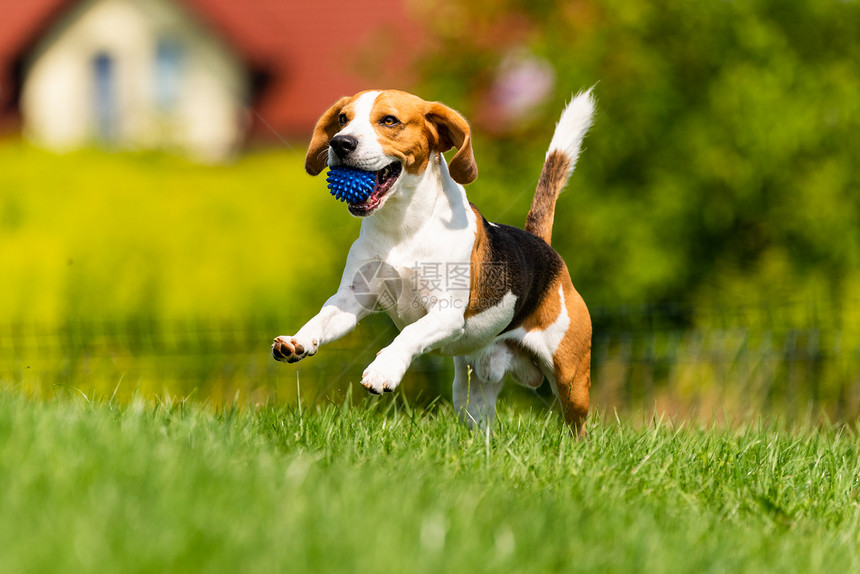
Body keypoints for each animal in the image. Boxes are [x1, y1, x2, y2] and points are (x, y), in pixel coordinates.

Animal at [272, 89, 596, 436]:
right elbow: (322, 319)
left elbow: (410, 334)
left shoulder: (446, 313)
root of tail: (543, 247)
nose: (340, 143)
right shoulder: (351, 299)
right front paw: (296, 341)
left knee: (578, 428)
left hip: (571, 378)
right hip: (470, 393)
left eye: (389, 120)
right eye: (343, 119)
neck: (400, 225)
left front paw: (384, 369)